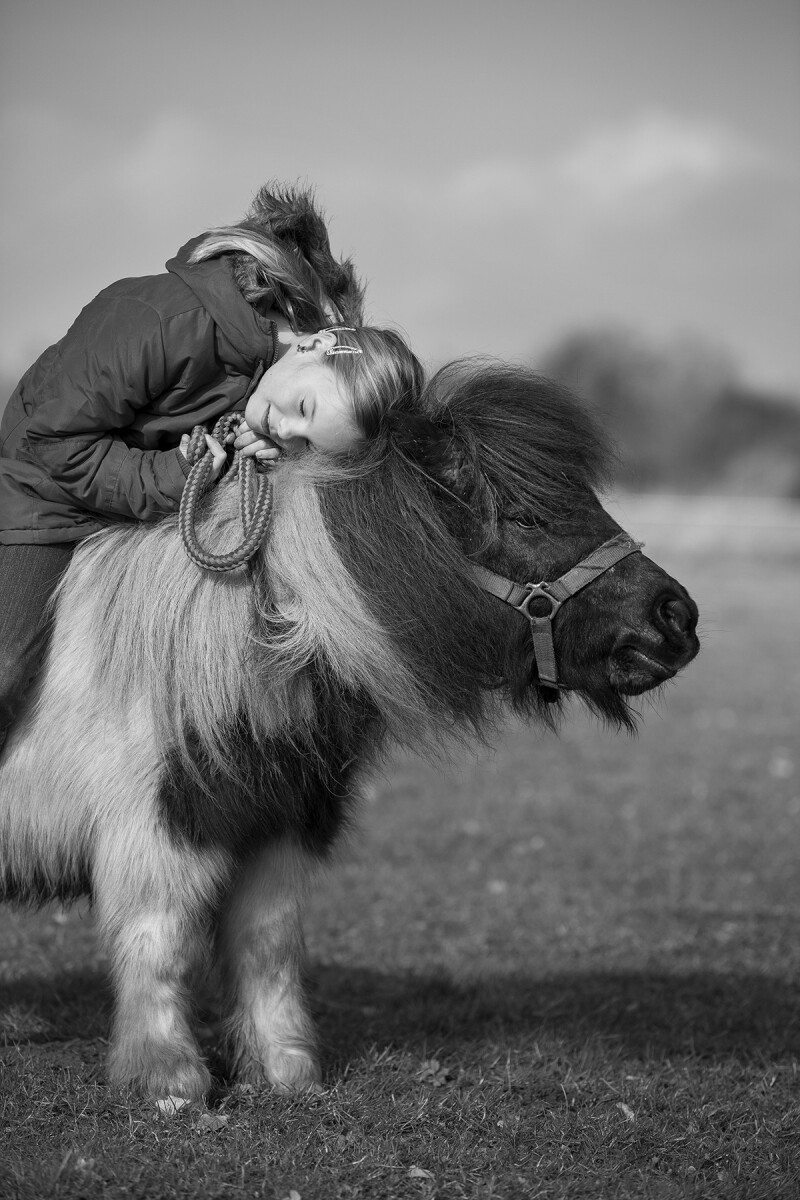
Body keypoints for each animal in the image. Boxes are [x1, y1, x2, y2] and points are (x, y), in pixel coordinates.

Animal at [0, 360, 699, 1100]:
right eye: (527, 517)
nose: (675, 617)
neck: (226, 644)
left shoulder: (282, 823)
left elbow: (267, 942)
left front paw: (287, 1070)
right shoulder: (161, 826)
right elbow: (160, 940)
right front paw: (168, 1079)